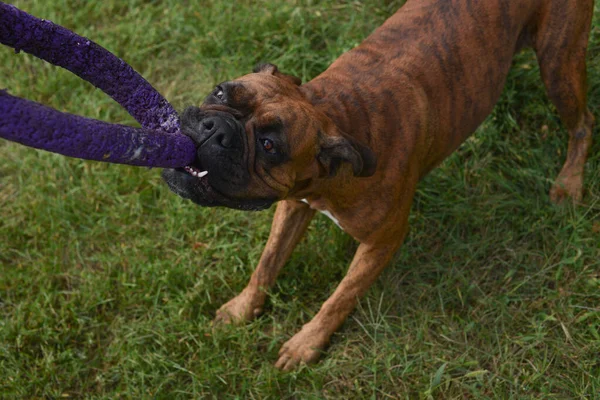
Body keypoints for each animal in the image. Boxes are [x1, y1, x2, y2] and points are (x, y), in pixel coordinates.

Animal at [163, 0, 596, 372]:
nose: (214, 128)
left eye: (270, 145)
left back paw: (569, 183)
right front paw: (242, 309)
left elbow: (340, 298)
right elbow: (267, 264)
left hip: (559, 65)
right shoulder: (294, 206)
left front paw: (306, 344)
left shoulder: (381, 243)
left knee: (584, 122)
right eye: (220, 91)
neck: (335, 116)